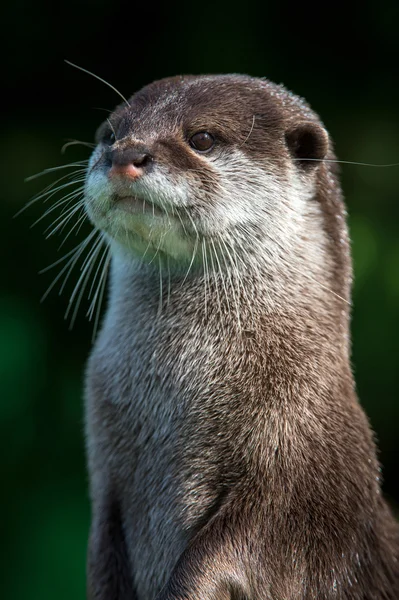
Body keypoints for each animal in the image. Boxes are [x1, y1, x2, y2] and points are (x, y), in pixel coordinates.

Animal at [82, 76, 399, 600]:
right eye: (110, 134)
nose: (126, 153)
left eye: (203, 138)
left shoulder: (291, 491)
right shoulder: (105, 478)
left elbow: (232, 553)